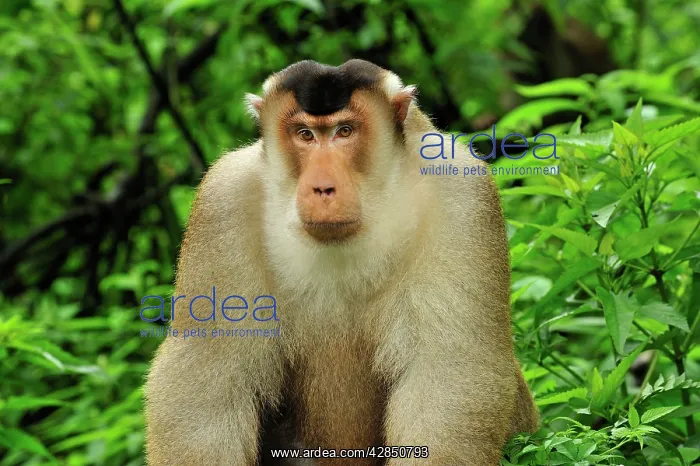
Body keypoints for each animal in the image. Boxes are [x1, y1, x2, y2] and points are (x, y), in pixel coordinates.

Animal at [144, 59, 539, 466]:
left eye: (344, 131)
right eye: (304, 134)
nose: (323, 188)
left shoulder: (461, 191)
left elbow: (449, 374)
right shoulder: (222, 200)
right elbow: (206, 384)